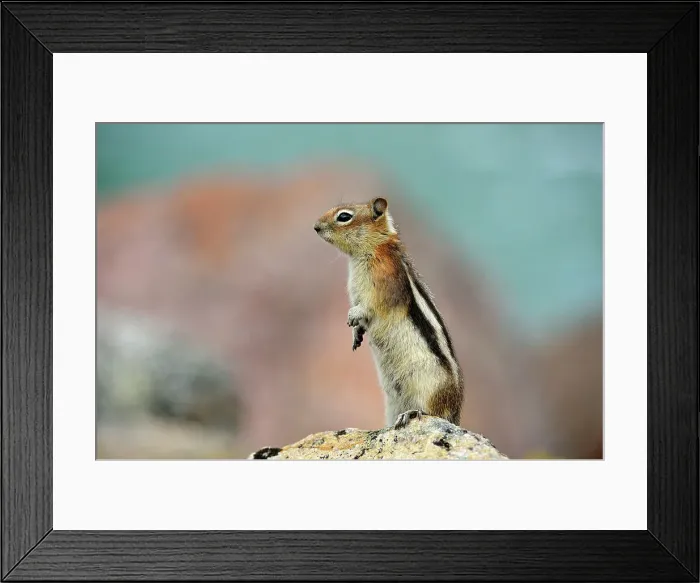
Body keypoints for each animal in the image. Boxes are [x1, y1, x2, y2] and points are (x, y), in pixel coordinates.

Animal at [314, 197, 464, 429]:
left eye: (344, 216)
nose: (316, 227)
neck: (374, 248)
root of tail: (455, 415)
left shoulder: (383, 285)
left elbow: (370, 306)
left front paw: (353, 316)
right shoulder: (355, 292)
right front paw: (356, 334)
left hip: (429, 387)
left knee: (433, 413)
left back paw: (411, 413)